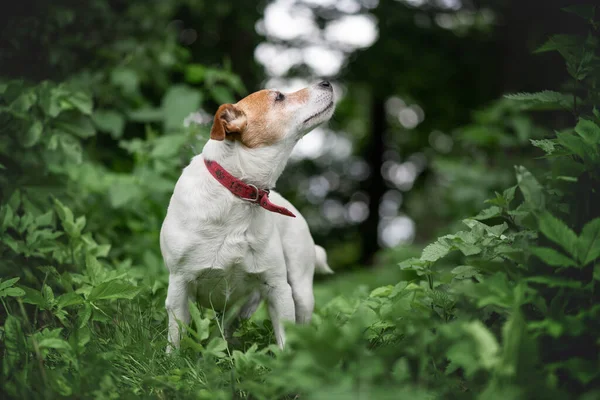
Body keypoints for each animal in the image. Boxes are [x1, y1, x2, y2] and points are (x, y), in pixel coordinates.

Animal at [159, 79, 338, 350]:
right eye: (279, 97)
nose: (326, 82)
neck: (238, 194)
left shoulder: (278, 287)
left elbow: (285, 339)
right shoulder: (179, 286)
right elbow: (175, 338)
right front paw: (172, 359)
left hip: (300, 292)